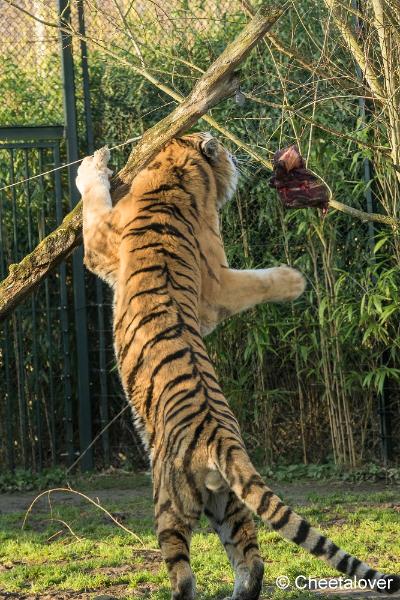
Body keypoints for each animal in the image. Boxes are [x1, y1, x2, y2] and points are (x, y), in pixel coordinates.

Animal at [76, 136, 398, 600]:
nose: (235, 157)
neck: (174, 176)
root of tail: (222, 441)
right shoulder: (214, 283)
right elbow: (252, 282)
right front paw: (297, 280)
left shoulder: (103, 242)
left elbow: (91, 201)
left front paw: (92, 164)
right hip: (229, 501)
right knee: (252, 562)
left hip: (169, 500)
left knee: (184, 572)